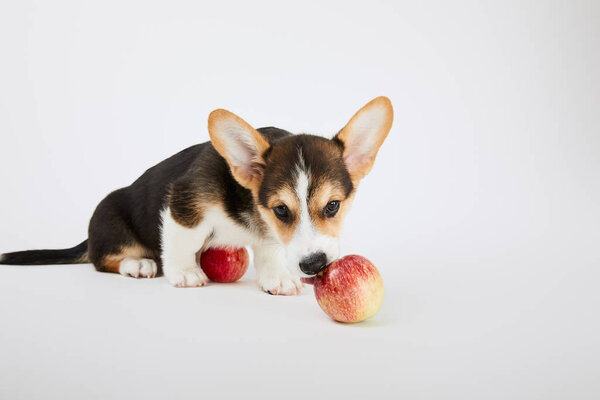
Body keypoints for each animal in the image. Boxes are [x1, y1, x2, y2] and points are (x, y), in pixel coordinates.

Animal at [1, 97, 394, 296]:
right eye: (282, 210)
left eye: (333, 206)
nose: (314, 265)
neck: (245, 200)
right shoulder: (183, 203)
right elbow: (181, 241)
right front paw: (184, 273)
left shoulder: (265, 233)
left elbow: (268, 251)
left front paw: (275, 279)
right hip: (109, 218)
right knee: (104, 259)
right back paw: (139, 265)